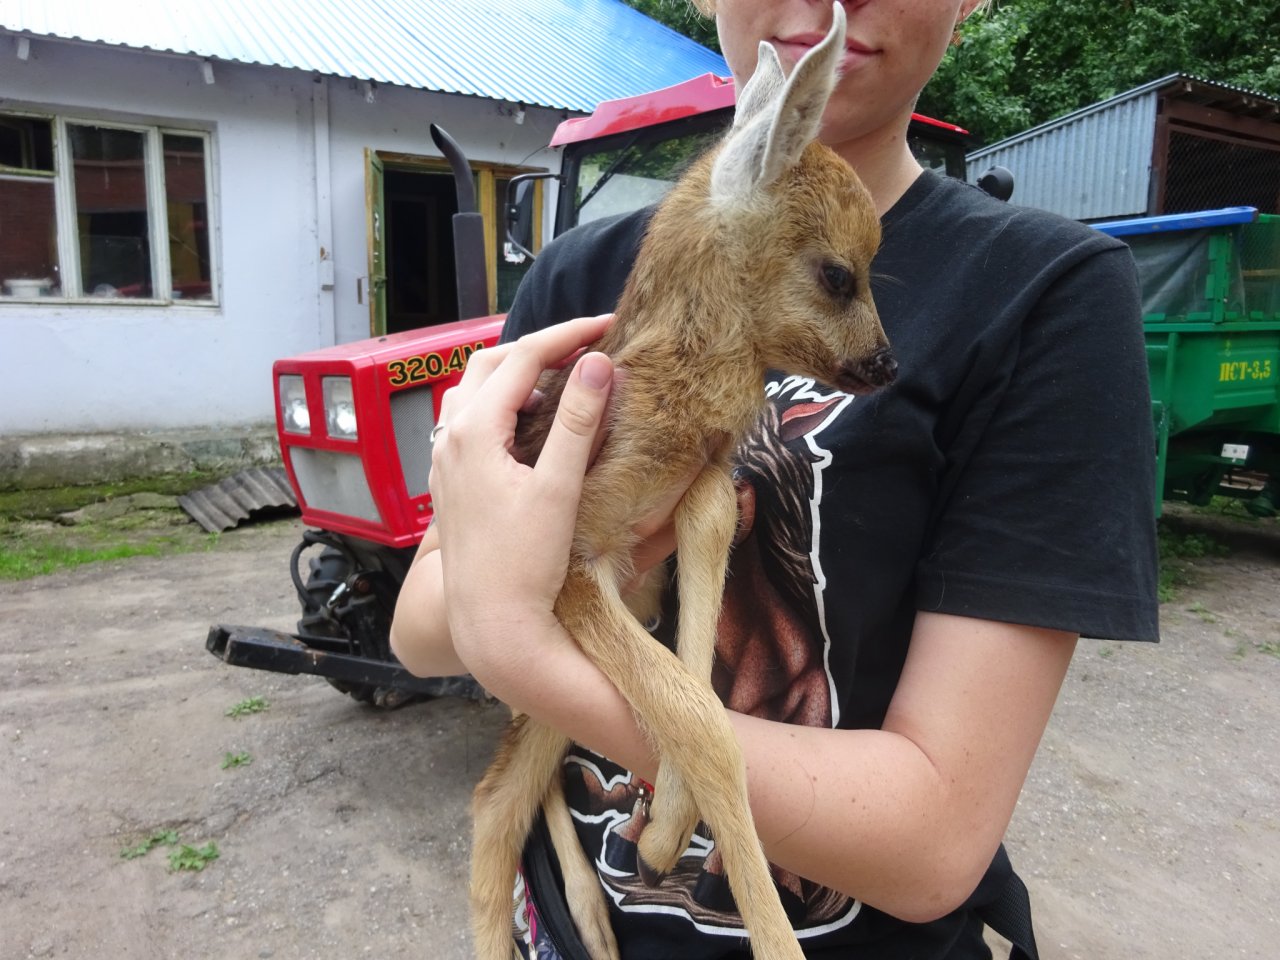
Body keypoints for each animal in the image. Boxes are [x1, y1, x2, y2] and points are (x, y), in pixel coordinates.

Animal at [465, 5, 896, 957]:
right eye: (838, 273)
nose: (889, 365)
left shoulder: (696, 503)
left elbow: (695, 681)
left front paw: (663, 831)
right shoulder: (577, 550)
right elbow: (703, 720)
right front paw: (768, 930)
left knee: (503, 793)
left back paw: (592, 912)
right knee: (494, 801)